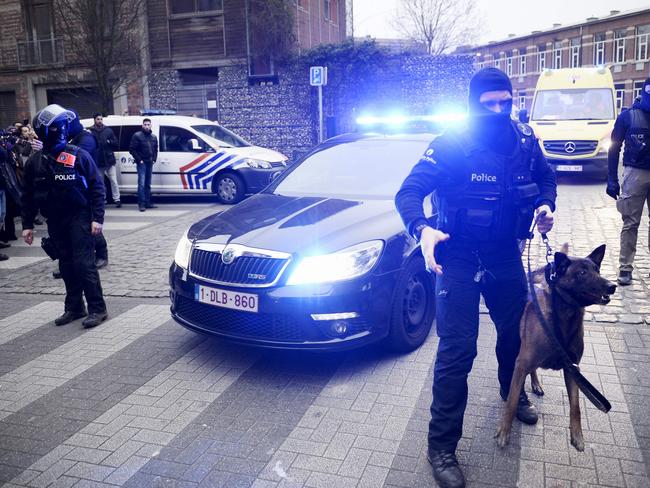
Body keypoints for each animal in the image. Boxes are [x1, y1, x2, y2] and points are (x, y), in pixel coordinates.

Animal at [498, 246, 616, 452]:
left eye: (597, 270)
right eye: (582, 273)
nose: (612, 286)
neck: (564, 320)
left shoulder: (573, 369)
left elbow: (576, 406)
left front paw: (577, 436)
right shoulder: (521, 363)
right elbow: (511, 402)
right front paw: (504, 432)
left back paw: (536, 384)